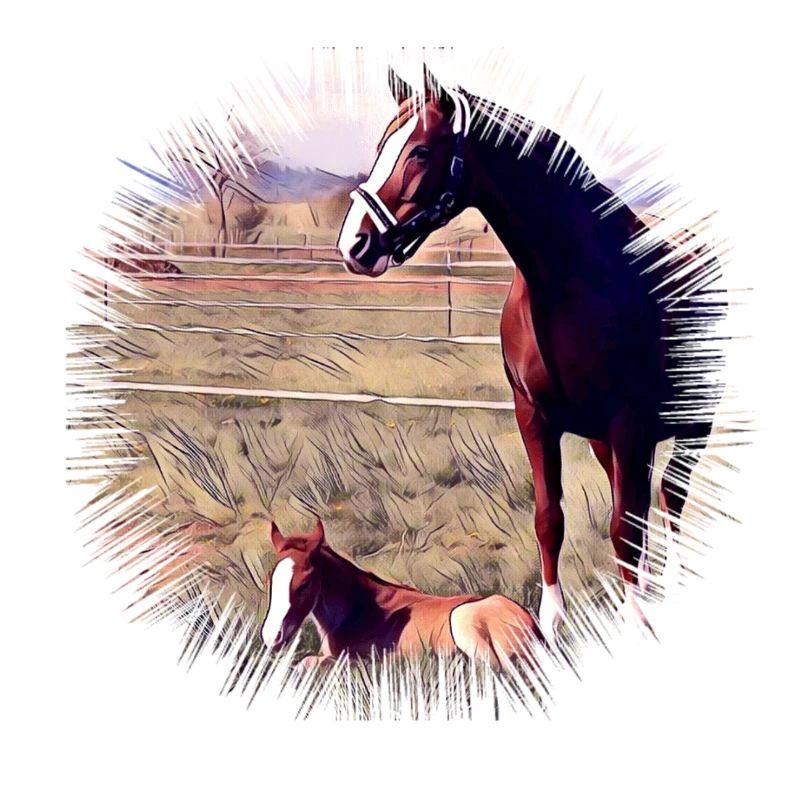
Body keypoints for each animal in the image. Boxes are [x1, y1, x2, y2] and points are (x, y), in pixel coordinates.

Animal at [261, 519, 542, 673]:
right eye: (271, 581)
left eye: (304, 584)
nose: (271, 637)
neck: (360, 611)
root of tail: (532, 626)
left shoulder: (359, 658)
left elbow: (307, 663)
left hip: (461, 620)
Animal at [337, 66, 720, 638]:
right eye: (383, 144)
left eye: (421, 151)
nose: (354, 245)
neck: (574, 281)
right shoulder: (536, 417)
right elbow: (550, 518)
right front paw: (552, 623)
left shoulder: (630, 425)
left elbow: (626, 528)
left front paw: (635, 625)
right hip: (612, 442)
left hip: (693, 422)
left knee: (671, 496)